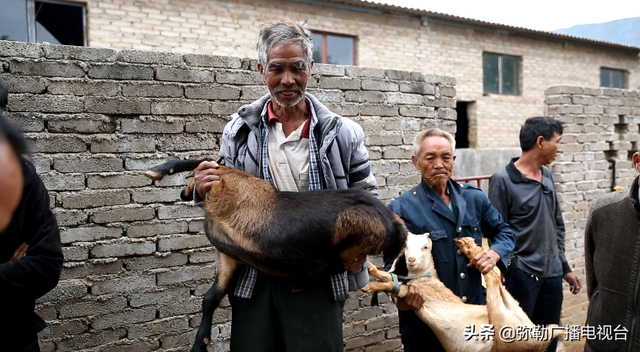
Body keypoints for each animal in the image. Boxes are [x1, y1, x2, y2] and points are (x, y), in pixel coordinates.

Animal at [144, 160, 404, 352]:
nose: (183, 193)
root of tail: (394, 222)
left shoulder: (229, 180)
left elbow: (199, 160)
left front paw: (155, 171)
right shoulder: (230, 256)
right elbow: (211, 298)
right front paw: (200, 344)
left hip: (350, 231)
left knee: (336, 265)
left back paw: (302, 280)